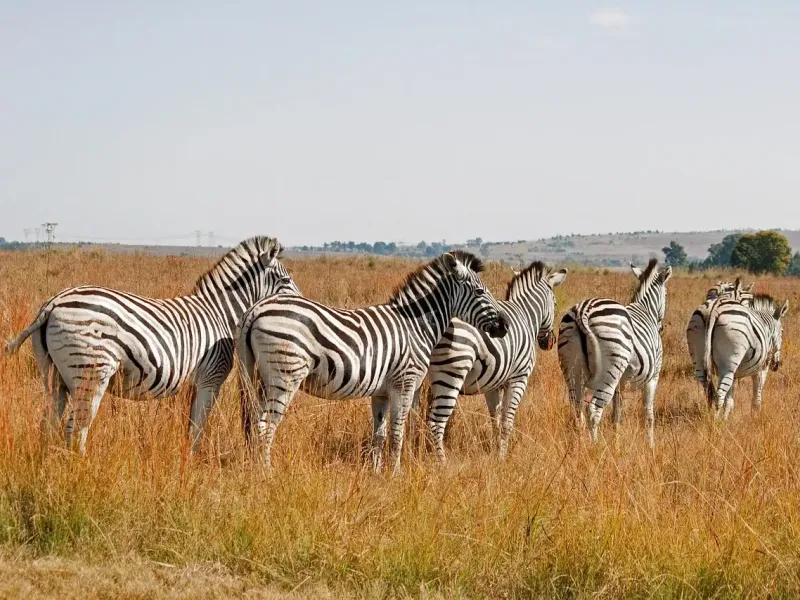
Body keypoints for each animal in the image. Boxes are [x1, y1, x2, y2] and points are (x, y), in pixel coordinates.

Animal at [3, 236, 299, 454]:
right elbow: (198, 426)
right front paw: (193, 461)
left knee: (49, 423)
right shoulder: (210, 378)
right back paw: (80, 467)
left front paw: (186, 458)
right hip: (90, 373)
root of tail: (53, 303)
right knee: (77, 429)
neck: (220, 312)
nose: (301, 303)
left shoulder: (195, 381)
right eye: (285, 280)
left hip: (53, 376)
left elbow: (190, 425)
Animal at [236, 251, 509, 473]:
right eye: (480, 292)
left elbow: (379, 434)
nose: (504, 326)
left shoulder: (382, 392)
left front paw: (377, 474)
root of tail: (256, 309)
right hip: (284, 375)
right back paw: (266, 472)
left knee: (254, 423)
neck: (415, 327)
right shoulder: (405, 384)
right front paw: (396, 474)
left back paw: (252, 468)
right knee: (266, 426)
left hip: (257, 377)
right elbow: (397, 433)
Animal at [419, 261, 567, 462]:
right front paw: (502, 457)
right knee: (436, 422)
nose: (549, 342)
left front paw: (496, 450)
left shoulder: (493, 384)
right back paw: (440, 462)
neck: (526, 315)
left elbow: (494, 420)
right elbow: (507, 422)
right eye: (555, 302)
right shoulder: (519, 378)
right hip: (451, 374)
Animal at [557, 259, 672, 447]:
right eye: (667, 295)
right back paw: (594, 447)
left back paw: (580, 446)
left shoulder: (621, 383)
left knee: (577, 409)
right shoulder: (653, 376)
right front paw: (651, 446)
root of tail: (583, 311)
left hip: (572, 368)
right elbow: (648, 415)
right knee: (593, 410)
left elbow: (616, 416)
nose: (661, 327)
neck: (645, 309)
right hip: (609, 370)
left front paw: (616, 444)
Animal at [703, 292, 788, 420]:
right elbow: (757, 396)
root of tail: (715, 308)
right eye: (782, 331)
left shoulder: (735, 373)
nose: (776, 365)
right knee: (719, 395)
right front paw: (756, 417)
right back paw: (714, 422)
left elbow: (730, 399)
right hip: (729, 364)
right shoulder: (761, 368)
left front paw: (726, 418)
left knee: (708, 393)